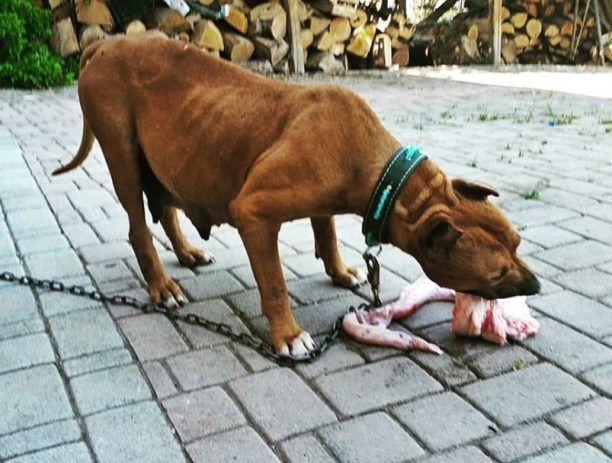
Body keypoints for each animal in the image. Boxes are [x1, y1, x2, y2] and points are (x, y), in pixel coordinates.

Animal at [54, 32, 540, 357]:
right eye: (497, 273)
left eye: (518, 242)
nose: (535, 286)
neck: (389, 179)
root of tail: (107, 44)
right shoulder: (253, 212)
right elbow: (274, 284)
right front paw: (288, 335)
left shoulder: (322, 202)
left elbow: (326, 232)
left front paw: (341, 271)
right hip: (123, 157)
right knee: (139, 228)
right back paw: (162, 286)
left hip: (164, 159)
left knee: (166, 209)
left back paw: (188, 252)